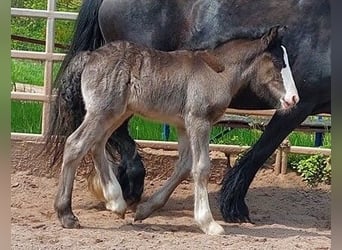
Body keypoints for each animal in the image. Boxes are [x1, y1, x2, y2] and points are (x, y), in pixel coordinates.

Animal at [46, 0, 330, 223]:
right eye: (278, 62)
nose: (293, 97)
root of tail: (91, 56)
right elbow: (253, 154)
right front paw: (232, 210)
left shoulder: (186, 123)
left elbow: (186, 165)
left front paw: (150, 209)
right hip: (112, 108)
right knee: (82, 142)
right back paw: (89, 205)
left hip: (117, 109)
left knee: (99, 141)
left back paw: (116, 197)